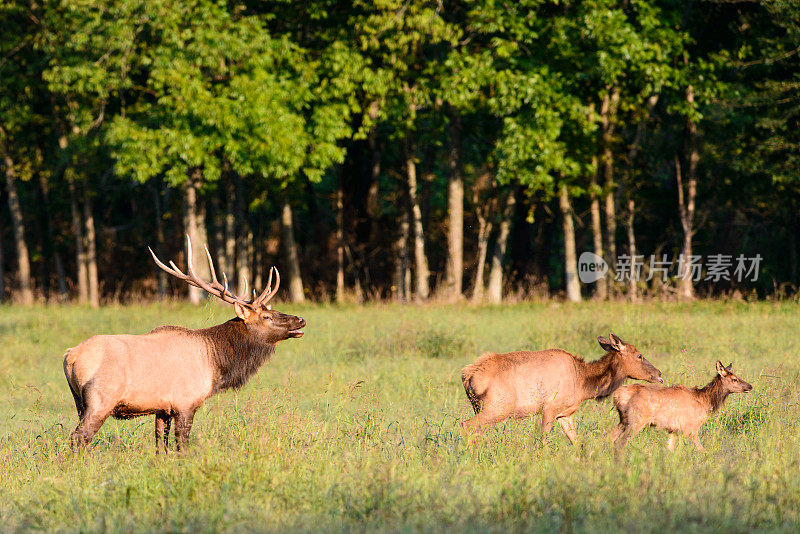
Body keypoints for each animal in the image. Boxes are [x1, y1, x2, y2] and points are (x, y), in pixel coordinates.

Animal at [61, 237, 306, 454]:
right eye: (267, 316)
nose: (300, 320)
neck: (216, 363)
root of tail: (70, 356)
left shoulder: (162, 409)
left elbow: (161, 447)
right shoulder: (186, 402)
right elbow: (182, 446)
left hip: (79, 402)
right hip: (100, 400)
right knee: (78, 438)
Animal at [462, 336, 664, 444]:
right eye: (639, 355)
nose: (659, 374)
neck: (583, 383)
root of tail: (468, 375)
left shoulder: (565, 414)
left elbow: (576, 441)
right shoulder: (550, 408)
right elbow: (543, 439)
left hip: (480, 407)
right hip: (498, 407)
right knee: (467, 425)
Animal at [608, 362, 752, 454]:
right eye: (734, 379)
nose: (750, 386)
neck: (705, 401)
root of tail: (618, 395)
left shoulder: (674, 429)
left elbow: (670, 449)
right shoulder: (691, 427)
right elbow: (701, 449)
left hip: (624, 420)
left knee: (610, 436)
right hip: (637, 420)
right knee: (620, 442)